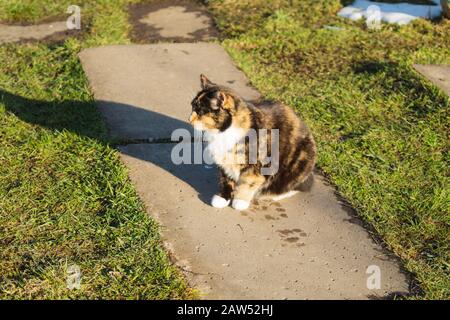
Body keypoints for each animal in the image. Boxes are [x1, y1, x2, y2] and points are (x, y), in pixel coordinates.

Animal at [190, 74, 316, 211]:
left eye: (201, 112)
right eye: (192, 107)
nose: (189, 120)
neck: (223, 132)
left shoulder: (257, 165)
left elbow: (248, 181)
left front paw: (240, 201)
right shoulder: (225, 162)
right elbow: (226, 179)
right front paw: (223, 198)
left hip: (300, 162)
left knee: (293, 186)